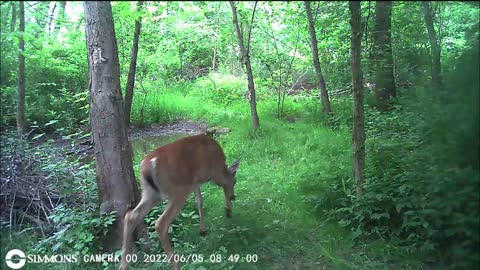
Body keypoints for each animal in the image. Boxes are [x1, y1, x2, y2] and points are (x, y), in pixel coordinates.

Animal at [120, 133, 240, 270]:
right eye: (235, 181)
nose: (233, 197)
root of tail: (149, 165)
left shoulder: (194, 183)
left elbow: (200, 201)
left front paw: (202, 231)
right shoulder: (213, 174)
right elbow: (220, 187)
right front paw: (228, 211)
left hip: (150, 193)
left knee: (131, 215)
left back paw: (123, 264)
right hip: (178, 191)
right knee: (161, 223)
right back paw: (176, 265)